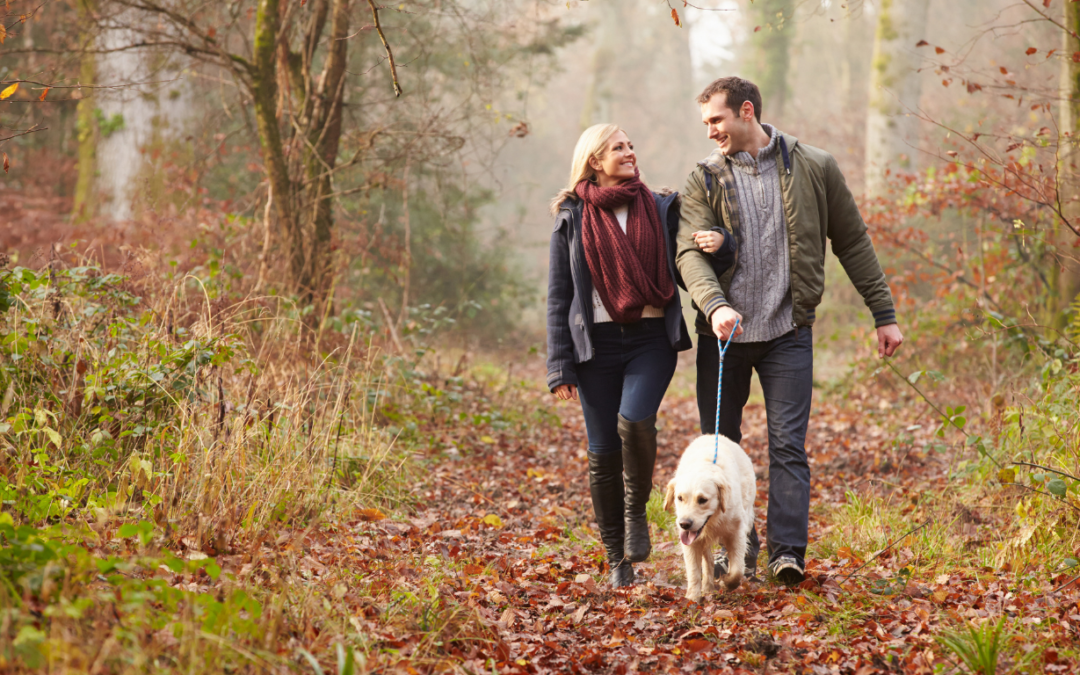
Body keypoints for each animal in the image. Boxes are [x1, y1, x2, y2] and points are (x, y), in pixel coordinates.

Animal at [660, 434, 756, 604]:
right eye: (679, 498)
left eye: (702, 500)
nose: (684, 524)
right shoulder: (690, 542)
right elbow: (693, 570)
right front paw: (693, 597)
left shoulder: (737, 532)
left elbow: (737, 570)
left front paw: (727, 582)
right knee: (708, 560)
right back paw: (707, 586)